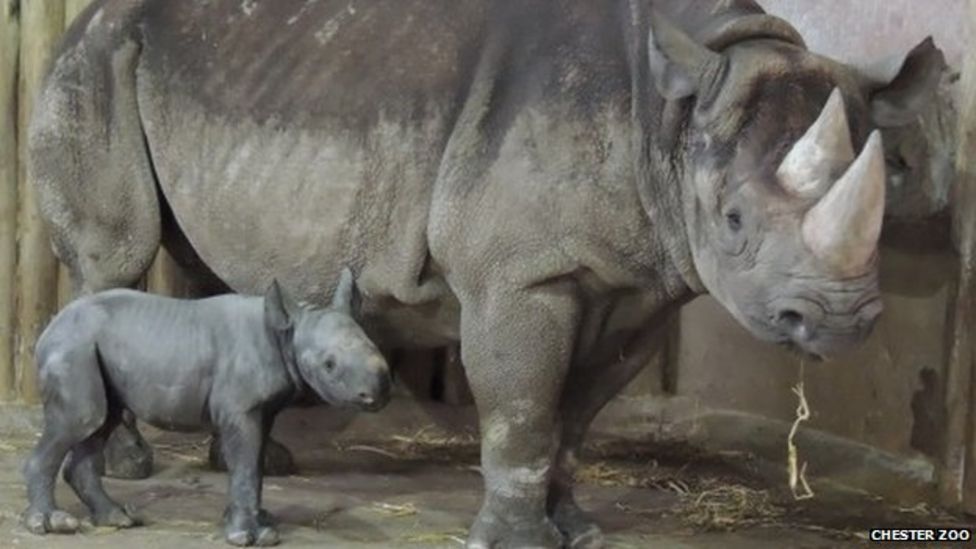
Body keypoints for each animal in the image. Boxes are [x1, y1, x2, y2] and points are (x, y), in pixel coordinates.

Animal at [30, 0, 944, 547]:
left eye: (889, 182)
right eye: (733, 221)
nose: (838, 320)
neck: (671, 117)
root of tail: (84, 17)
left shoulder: (644, 284)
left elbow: (575, 414)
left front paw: (579, 527)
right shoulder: (521, 276)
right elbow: (522, 407)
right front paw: (516, 539)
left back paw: (258, 457)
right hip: (92, 60)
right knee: (116, 256)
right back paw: (133, 467)